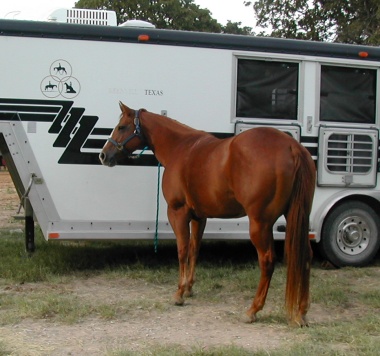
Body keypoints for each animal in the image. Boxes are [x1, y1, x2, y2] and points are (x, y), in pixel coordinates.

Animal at [99, 102, 316, 326]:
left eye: (122, 127)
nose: (104, 155)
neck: (180, 148)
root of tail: (292, 147)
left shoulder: (177, 213)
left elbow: (182, 250)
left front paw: (179, 293)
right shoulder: (199, 217)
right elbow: (195, 250)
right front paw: (189, 288)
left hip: (260, 223)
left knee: (267, 261)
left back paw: (253, 310)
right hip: (296, 217)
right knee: (306, 256)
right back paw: (301, 311)